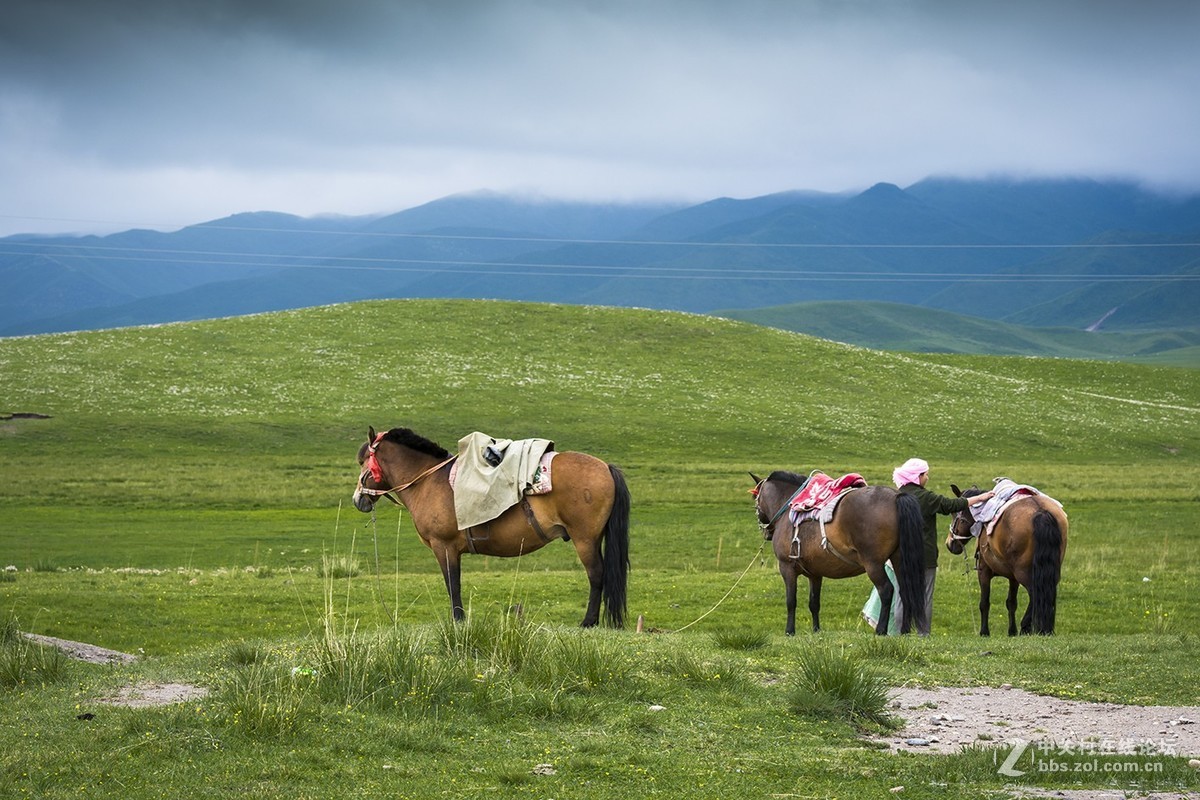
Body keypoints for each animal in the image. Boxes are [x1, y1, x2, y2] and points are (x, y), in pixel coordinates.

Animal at [350, 429, 633, 628]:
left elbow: (453, 584)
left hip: (584, 539)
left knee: (596, 574)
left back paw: (588, 621)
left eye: (363, 461)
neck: (428, 481)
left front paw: (458, 621)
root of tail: (606, 467)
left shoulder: (444, 547)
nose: (358, 499)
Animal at [748, 470, 926, 638]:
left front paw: (789, 631)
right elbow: (814, 603)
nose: (766, 532)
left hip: (873, 564)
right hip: (899, 560)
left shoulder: (787, 568)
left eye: (756, 500)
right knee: (905, 591)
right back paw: (904, 631)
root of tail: (896, 496)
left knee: (886, 590)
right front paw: (816, 630)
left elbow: (791, 601)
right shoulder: (815, 574)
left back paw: (881, 630)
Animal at [945, 484, 1070, 633]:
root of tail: (1041, 511)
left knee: (1036, 594)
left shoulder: (984, 571)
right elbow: (1011, 603)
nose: (949, 544)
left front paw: (984, 632)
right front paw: (1012, 631)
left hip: (1023, 573)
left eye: (954, 514)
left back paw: (1026, 626)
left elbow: (984, 603)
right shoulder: (1013, 578)